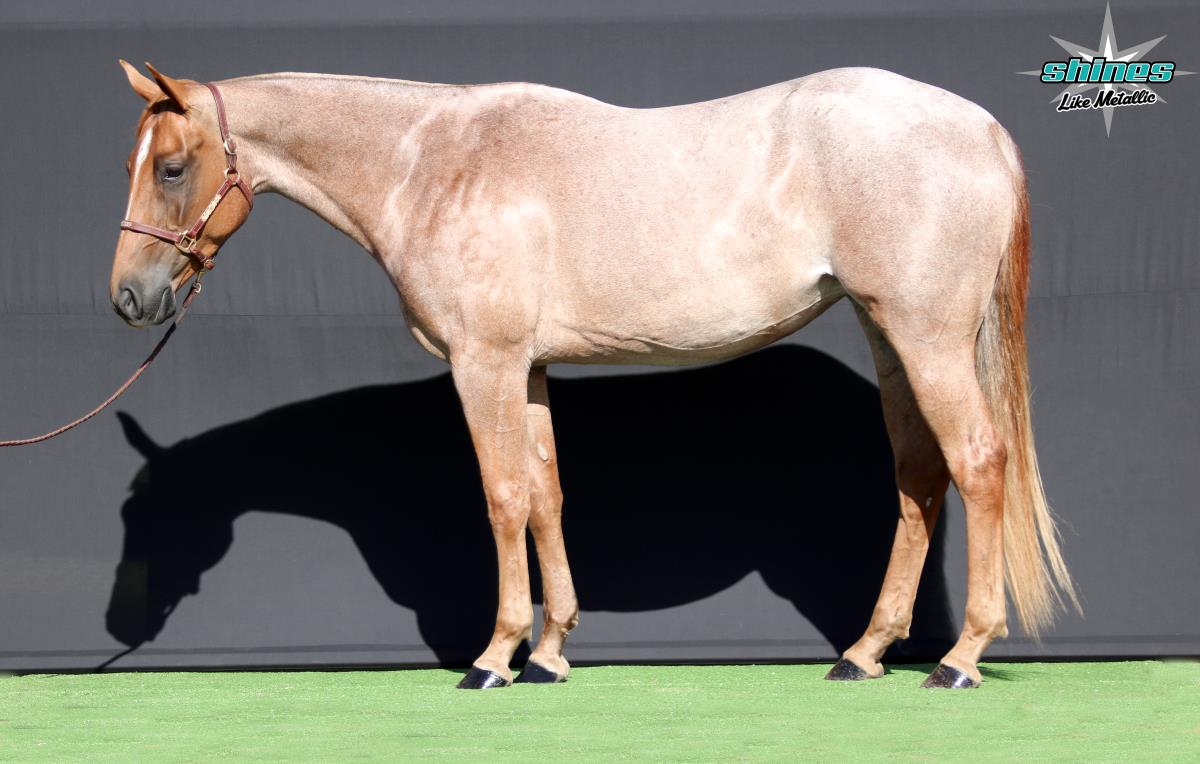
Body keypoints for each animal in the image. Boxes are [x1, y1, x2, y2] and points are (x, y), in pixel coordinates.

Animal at [110, 61, 1078, 689]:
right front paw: (549, 653)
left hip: (928, 339)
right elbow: (546, 494)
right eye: (136, 163)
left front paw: (495, 657)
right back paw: (865, 652)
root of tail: (980, 125)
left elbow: (502, 496)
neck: (432, 161)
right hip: (889, 339)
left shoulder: (486, 363)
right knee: (919, 478)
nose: (129, 297)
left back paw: (959, 660)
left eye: (172, 167)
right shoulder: (530, 369)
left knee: (978, 465)